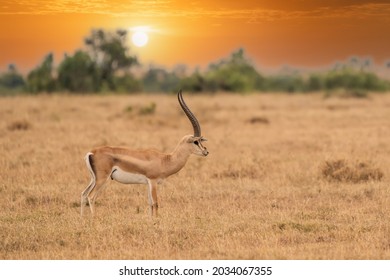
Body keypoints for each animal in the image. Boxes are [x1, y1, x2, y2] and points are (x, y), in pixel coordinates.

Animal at [79, 89, 207, 217]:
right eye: (196, 141)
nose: (206, 151)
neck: (165, 160)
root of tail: (91, 153)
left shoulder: (147, 183)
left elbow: (150, 203)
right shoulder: (153, 181)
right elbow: (155, 203)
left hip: (93, 179)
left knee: (83, 194)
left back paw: (82, 218)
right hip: (102, 179)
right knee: (91, 197)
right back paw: (94, 218)